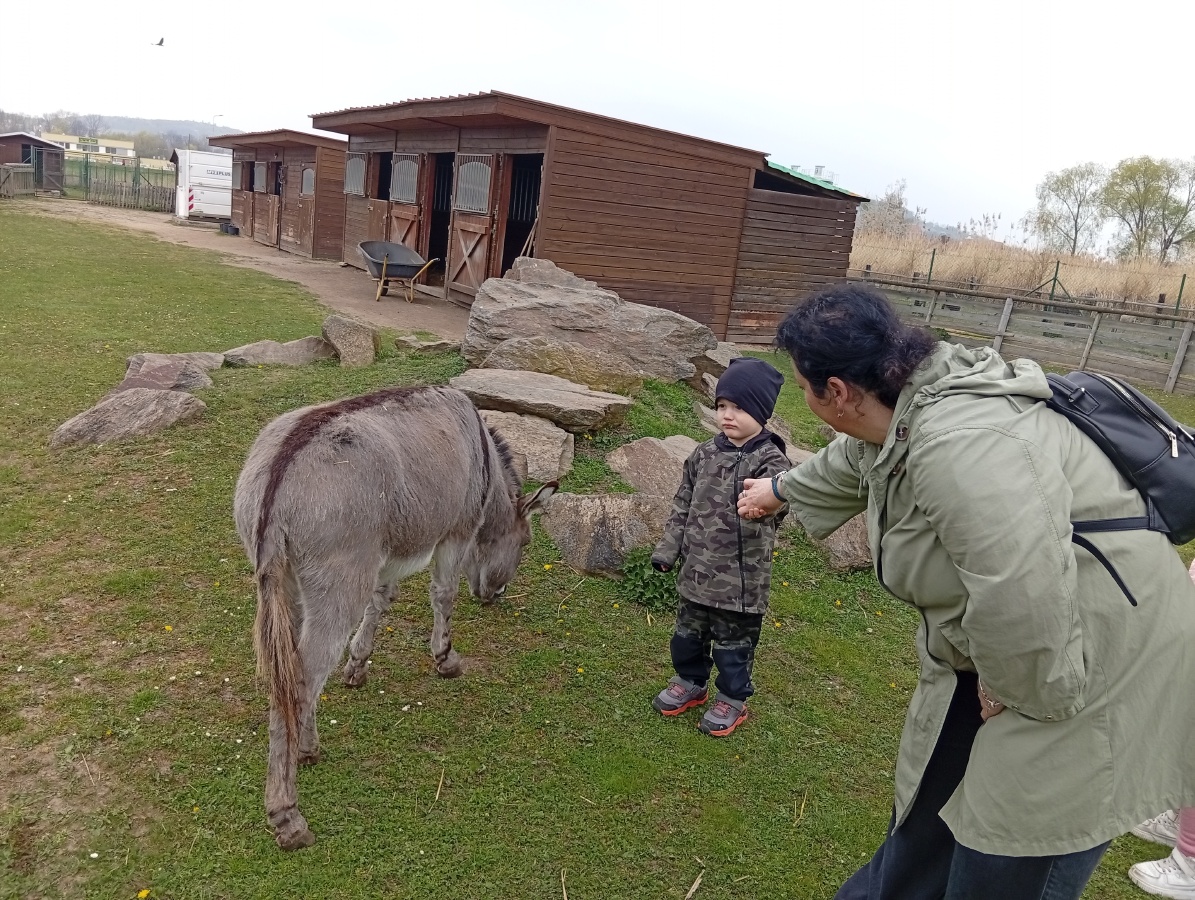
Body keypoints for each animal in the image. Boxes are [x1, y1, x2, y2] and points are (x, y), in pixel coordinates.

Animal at [233, 384, 555, 849]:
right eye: (525, 542)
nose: (494, 597)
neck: (483, 458)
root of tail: (279, 475)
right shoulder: (456, 531)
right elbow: (443, 595)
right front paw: (445, 658)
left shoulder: (384, 556)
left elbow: (380, 601)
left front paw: (358, 665)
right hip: (337, 586)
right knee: (301, 684)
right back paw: (287, 813)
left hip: (282, 585)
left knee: (290, 676)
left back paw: (305, 750)